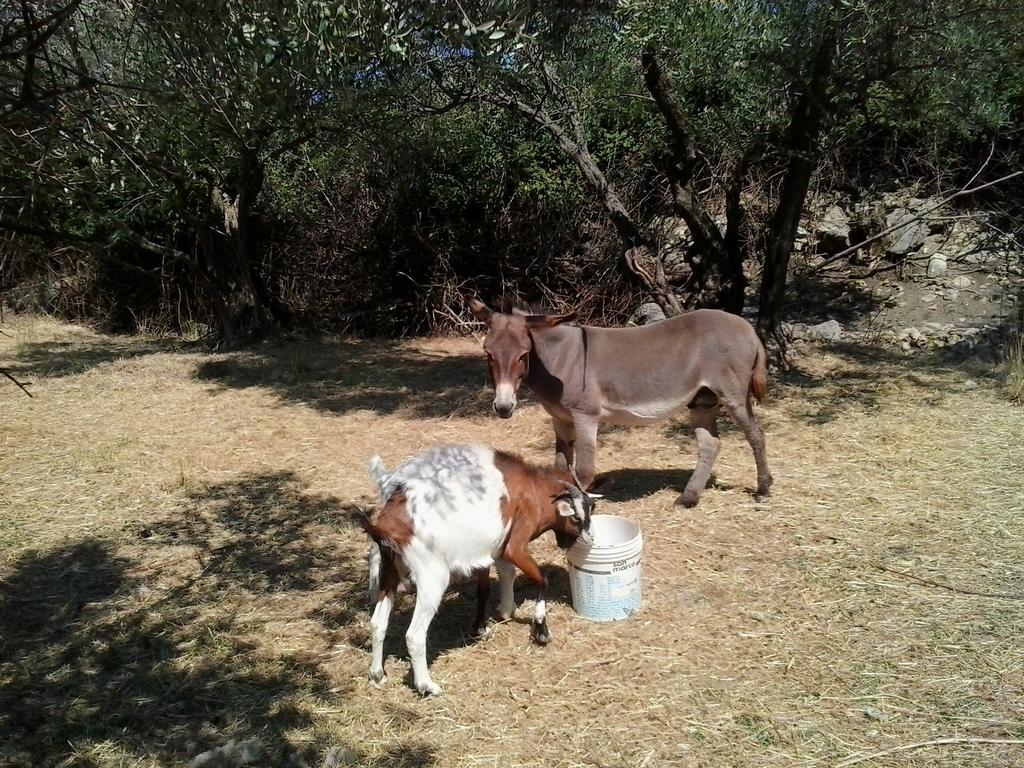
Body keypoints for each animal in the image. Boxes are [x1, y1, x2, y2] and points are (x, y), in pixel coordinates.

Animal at [364, 444, 598, 696]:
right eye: (576, 518)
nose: (589, 539)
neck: (533, 488)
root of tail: (388, 524)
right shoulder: (515, 544)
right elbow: (541, 580)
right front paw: (540, 631)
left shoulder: (492, 549)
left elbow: (494, 582)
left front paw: (495, 618)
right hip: (432, 576)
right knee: (414, 634)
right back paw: (427, 685)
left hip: (390, 569)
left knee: (378, 622)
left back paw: (378, 675)